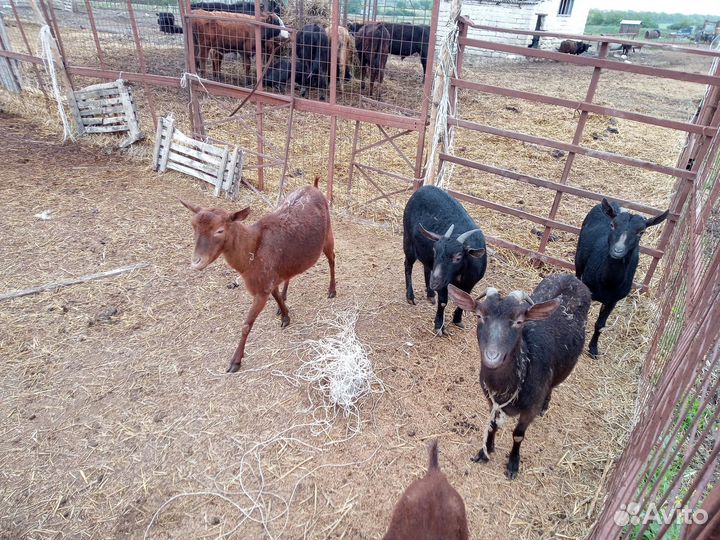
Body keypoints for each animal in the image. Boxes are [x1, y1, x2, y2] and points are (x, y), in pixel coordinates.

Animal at [180, 177, 336, 373]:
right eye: (193, 227)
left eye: (220, 230)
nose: (196, 262)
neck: (251, 254)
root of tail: (314, 186)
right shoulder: (269, 278)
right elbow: (276, 294)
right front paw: (285, 315)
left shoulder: (261, 289)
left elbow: (246, 325)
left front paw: (235, 362)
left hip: (329, 233)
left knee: (332, 259)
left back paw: (332, 290)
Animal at [403, 185, 487, 336]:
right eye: (435, 250)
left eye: (458, 257)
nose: (435, 283)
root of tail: (424, 187)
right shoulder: (444, 282)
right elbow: (443, 302)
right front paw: (439, 326)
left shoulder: (470, 282)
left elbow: (465, 299)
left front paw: (457, 320)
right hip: (408, 241)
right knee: (408, 266)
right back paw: (411, 296)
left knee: (426, 267)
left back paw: (430, 294)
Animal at [448, 274, 591, 479]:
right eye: (479, 316)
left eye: (519, 321)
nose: (492, 357)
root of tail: (572, 276)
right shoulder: (491, 400)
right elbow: (492, 425)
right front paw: (485, 451)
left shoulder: (529, 410)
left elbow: (518, 435)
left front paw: (513, 464)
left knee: (552, 386)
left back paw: (545, 406)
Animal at [575, 198, 669, 358]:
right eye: (612, 225)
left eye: (641, 232)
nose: (617, 251)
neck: (607, 282)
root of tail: (614, 203)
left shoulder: (613, 300)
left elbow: (600, 325)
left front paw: (593, 349)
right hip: (578, 260)